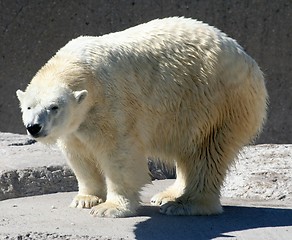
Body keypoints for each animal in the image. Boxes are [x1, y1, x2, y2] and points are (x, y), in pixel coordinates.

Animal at [16, 16, 266, 218]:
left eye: (54, 107)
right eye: (28, 107)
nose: (34, 127)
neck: (81, 66)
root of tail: (248, 60)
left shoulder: (111, 102)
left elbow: (119, 154)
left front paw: (110, 208)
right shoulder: (75, 124)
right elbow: (79, 155)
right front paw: (86, 199)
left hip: (217, 102)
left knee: (207, 152)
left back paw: (185, 205)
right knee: (189, 152)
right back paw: (168, 195)